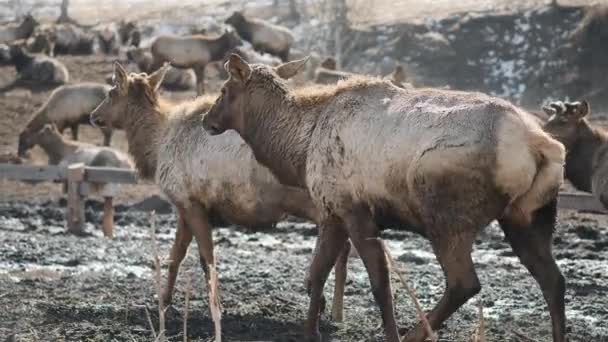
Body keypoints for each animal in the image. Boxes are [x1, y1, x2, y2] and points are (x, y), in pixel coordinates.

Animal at [202, 53, 568, 342]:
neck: (299, 151)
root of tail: (542, 145)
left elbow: (379, 285)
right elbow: (317, 273)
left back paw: (414, 334)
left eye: (224, 90)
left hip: (446, 217)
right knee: (553, 280)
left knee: (464, 282)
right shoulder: (333, 212)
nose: (207, 120)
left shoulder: (353, 211)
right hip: (527, 217)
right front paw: (311, 331)